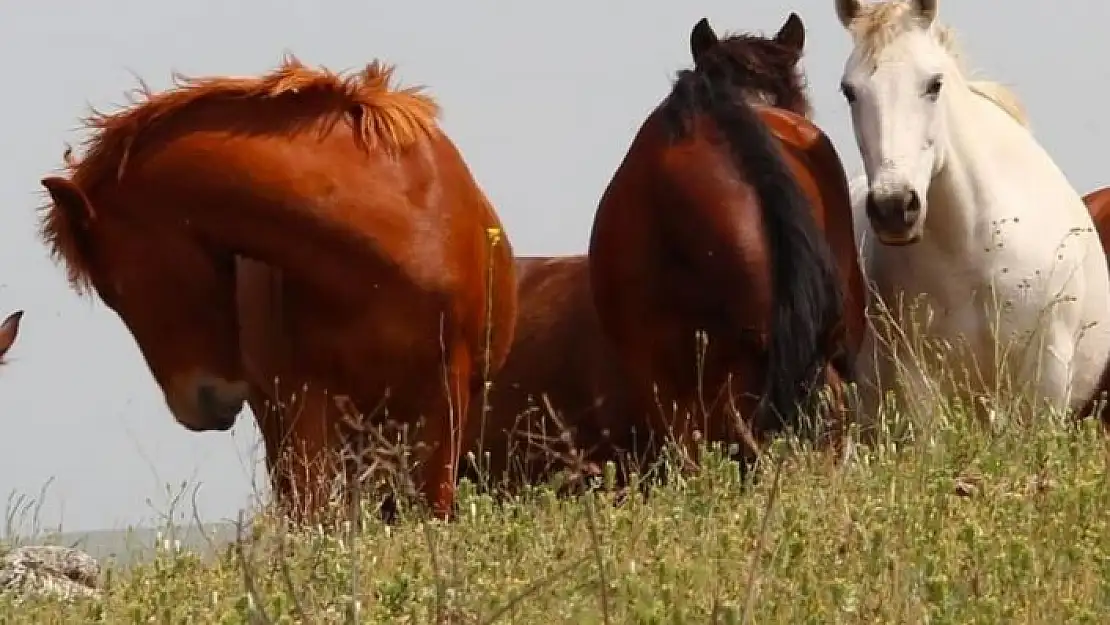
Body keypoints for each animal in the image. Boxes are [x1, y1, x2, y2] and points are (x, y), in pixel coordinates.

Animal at [834, 0, 1110, 419]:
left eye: (934, 84)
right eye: (850, 91)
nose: (893, 207)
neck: (974, 251)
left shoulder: (1043, 384)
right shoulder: (920, 385)